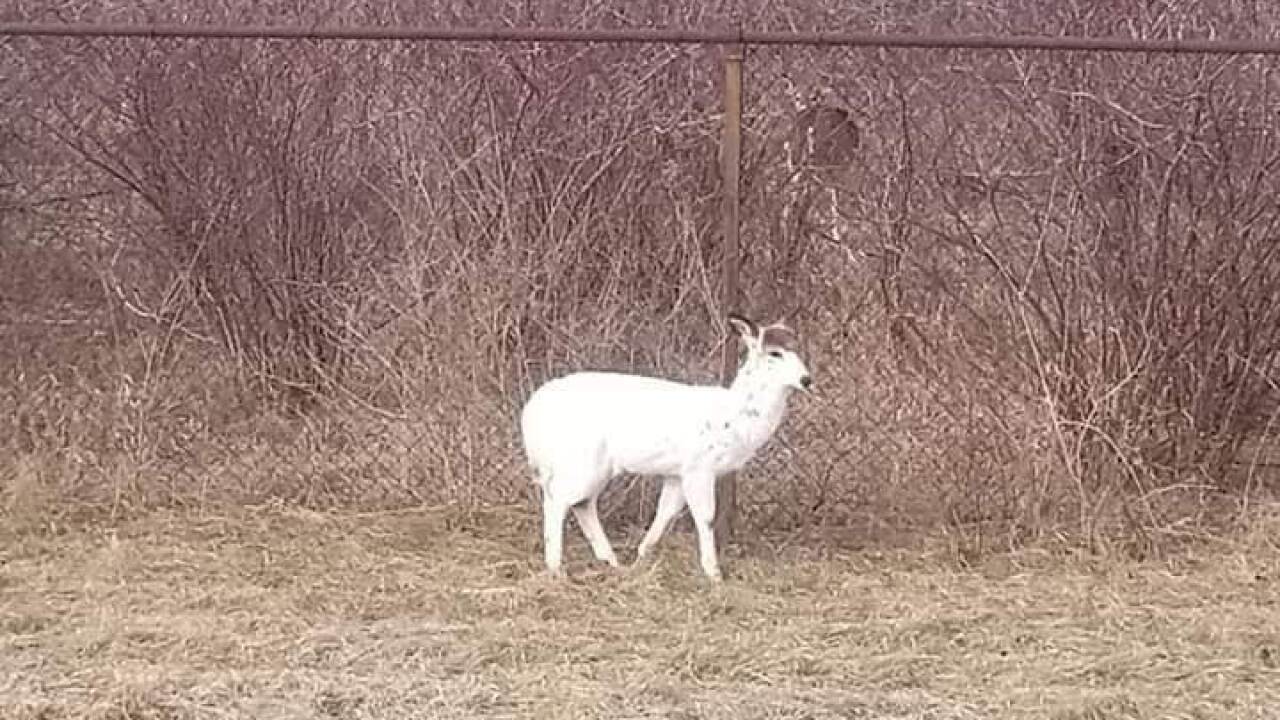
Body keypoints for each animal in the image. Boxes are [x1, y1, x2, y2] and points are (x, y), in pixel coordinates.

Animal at [518, 313, 813, 580]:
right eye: (775, 353)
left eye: (798, 349)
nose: (807, 380)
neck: (732, 419)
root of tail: (531, 413)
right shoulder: (699, 466)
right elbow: (706, 517)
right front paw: (714, 574)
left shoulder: (677, 472)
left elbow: (666, 512)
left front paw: (641, 557)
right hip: (583, 459)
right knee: (557, 500)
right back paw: (557, 568)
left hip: (595, 465)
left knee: (582, 502)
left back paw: (611, 561)